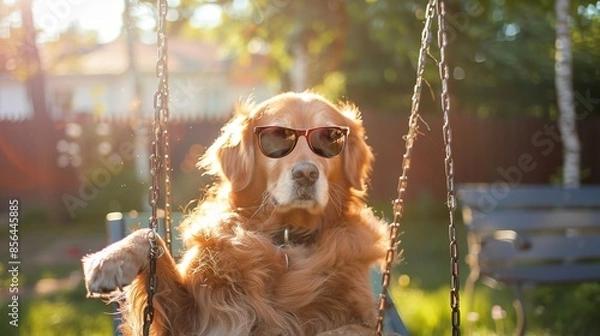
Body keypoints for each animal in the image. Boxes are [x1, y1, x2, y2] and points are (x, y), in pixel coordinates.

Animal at [82, 90, 392, 334]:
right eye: (277, 136)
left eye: (330, 138)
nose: (306, 174)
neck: (287, 238)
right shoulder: (192, 317)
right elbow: (150, 235)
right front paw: (111, 259)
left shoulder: (364, 317)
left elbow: (347, 328)